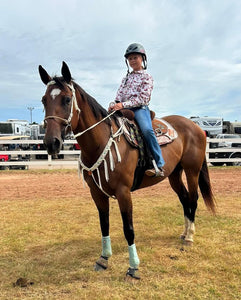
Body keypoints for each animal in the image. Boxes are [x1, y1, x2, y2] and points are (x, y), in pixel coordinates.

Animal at [38, 61, 216, 282]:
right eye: (44, 100)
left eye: (67, 99)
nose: (51, 143)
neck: (102, 141)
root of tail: (196, 127)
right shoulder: (96, 193)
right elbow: (104, 224)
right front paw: (103, 258)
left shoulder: (123, 192)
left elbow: (128, 229)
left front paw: (133, 268)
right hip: (174, 174)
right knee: (184, 199)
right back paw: (184, 233)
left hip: (192, 171)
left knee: (192, 199)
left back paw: (190, 237)